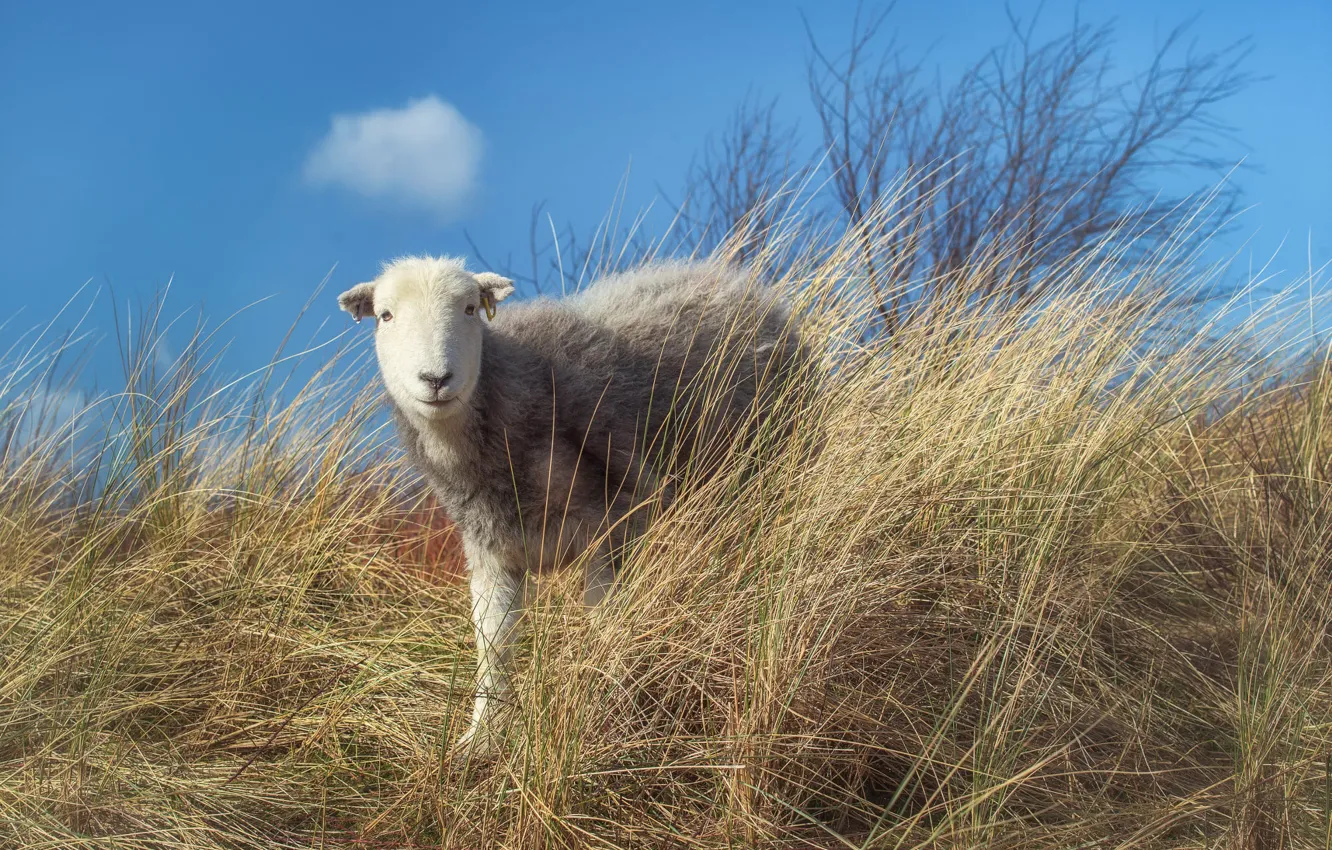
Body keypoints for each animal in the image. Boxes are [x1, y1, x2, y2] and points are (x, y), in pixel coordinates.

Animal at [339, 256, 805, 753]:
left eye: (469, 309)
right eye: (385, 316)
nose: (435, 379)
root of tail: (733, 280)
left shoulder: (609, 526)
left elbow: (602, 623)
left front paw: (599, 702)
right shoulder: (491, 552)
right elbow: (493, 644)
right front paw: (481, 738)